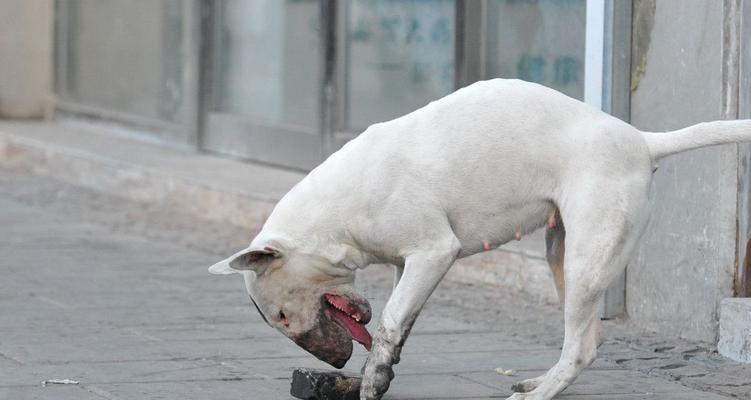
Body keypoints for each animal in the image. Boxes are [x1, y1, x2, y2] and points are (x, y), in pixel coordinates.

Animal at [207, 79, 751, 400]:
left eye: (280, 316)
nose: (334, 362)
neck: (337, 215)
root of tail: (642, 142)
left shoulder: (434, 252)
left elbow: (388, 321)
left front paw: (372, 377)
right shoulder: (410, 266)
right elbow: (398, 321)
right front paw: (379, 370)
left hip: (588, 257)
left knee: (581, 347)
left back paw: (536, 396)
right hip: (563, 253)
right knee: (587, 338)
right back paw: (542, 381)